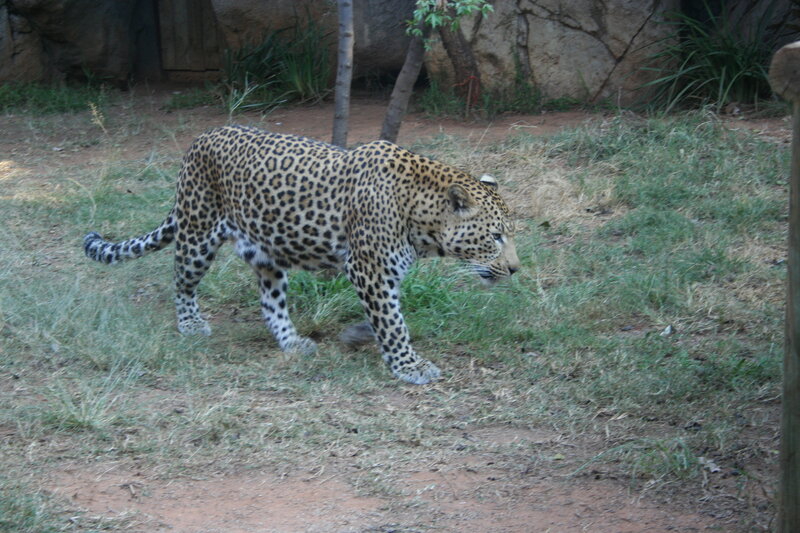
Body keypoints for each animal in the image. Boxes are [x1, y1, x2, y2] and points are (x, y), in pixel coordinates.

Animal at [82, 125, 520, 385]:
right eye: (496, 236)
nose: (516, 270)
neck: (420, 216)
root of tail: (203, 137)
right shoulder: (369, 269)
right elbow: (393, 322)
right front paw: (409, 365)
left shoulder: (383, 275)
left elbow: (389, 316)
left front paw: (364, 336)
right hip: (198, 233)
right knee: (181, 281)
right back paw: (190, 324)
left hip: (266, 253)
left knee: (270, 302)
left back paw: (292, 342)